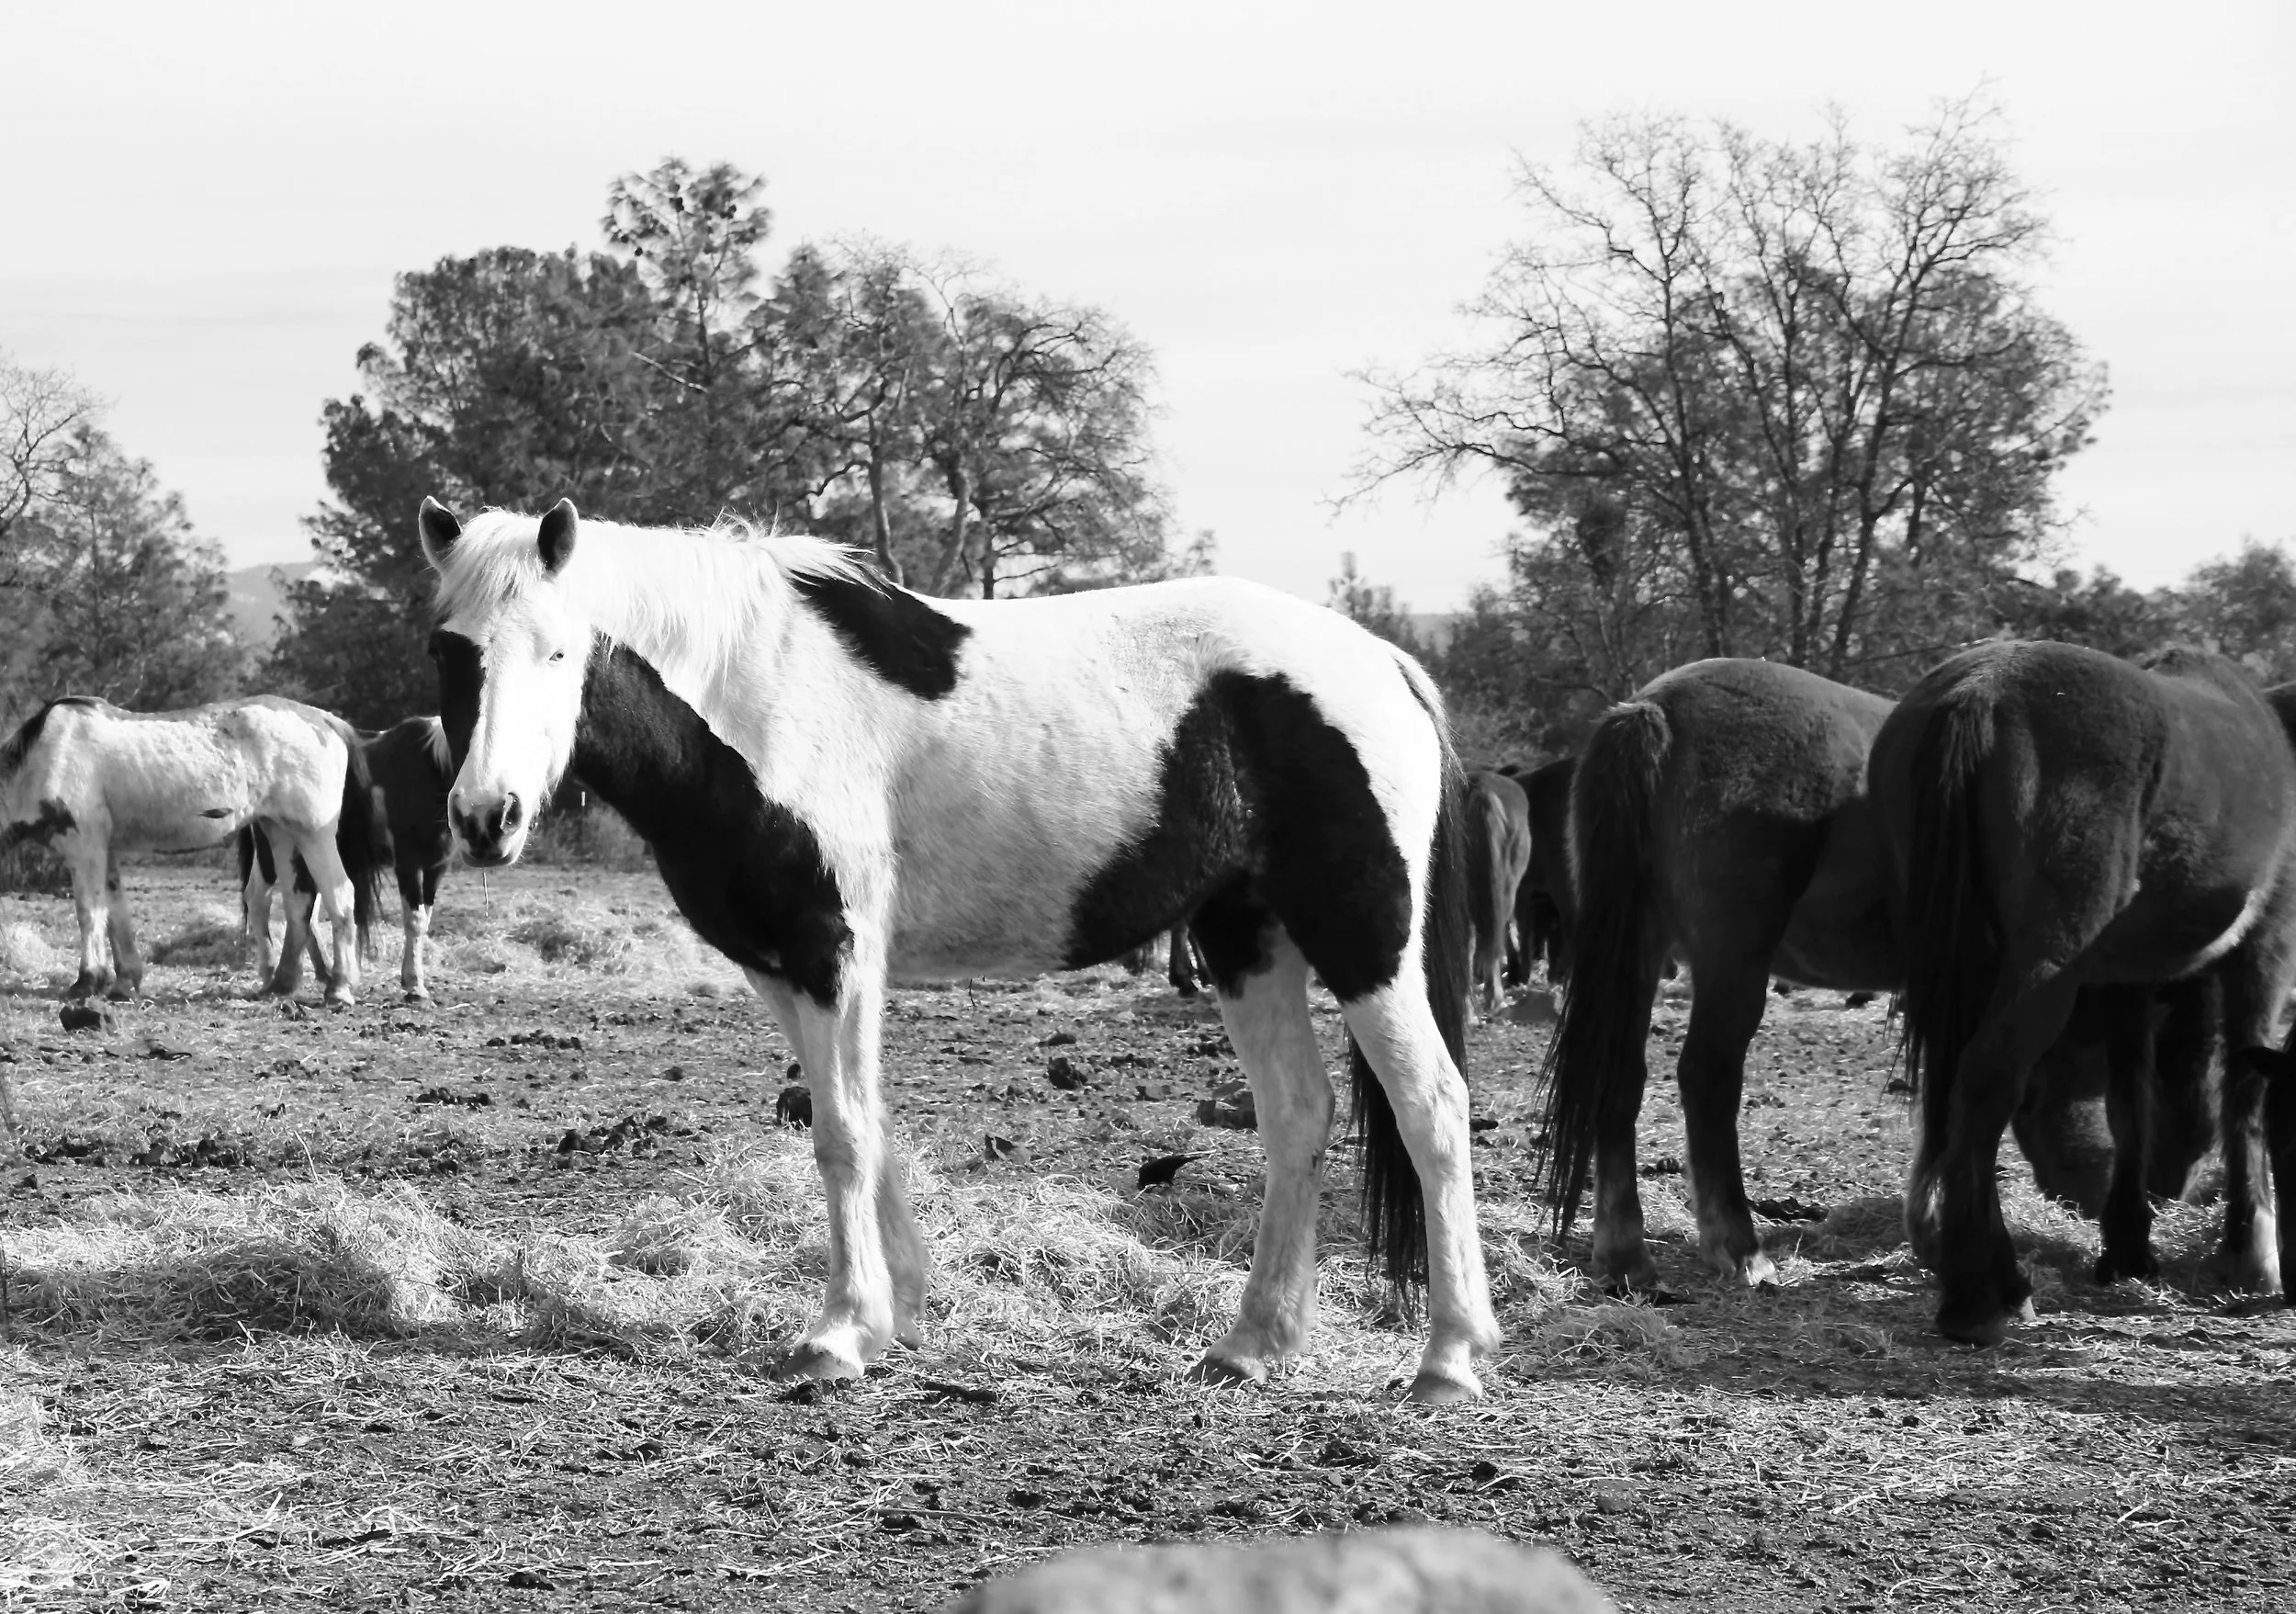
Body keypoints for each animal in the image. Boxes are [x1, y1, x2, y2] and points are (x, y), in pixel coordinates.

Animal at [0, 694, 383, 1004]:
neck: (44, 756)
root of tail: (328, 721)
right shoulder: (105, 851)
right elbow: (115, 915)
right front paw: (124, 982)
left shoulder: (84, 847)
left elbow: (89, 912)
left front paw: (87, 981)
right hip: (279, 833)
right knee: (298, 901)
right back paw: (281, 983)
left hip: (314, 835)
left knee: (339, 896)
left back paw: (339, 988)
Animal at [240, 716, 456, 1001]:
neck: (430, 769)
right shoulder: (407, 863)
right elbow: (414, 920)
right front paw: (414, 985)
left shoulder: (436, 866)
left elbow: (424, 919)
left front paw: (416, 982)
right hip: (273, 850)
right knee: (258, 898)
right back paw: (271, 971)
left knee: (307, 907)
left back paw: (324, 972)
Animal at [419, 497, 1496, 1402]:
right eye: (450, 653)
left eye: (561, 651)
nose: (485, 817)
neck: (758, 698)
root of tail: (1383, 662)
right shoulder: (783, 965)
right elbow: (861, 1121)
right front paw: (894, 1311)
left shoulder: (834, 953)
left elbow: (842, 1133)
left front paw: (837, 1334)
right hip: (1246, 938)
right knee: (1297, 1116)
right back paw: (1251, 1344)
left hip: (1364, 937)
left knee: (1432, 1111)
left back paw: (1446, 1358)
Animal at [1877, 641, 2296, 1344]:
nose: (2173, 1186)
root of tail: (1978, 692)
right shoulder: (2265, 949)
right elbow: (2245, 1094)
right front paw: (2251, 1253)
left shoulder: (2122, 975)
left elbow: (2130, 1098)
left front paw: (2128, 1246)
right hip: (2043, 963)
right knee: (1986, 1084)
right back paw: (1981, 1296)